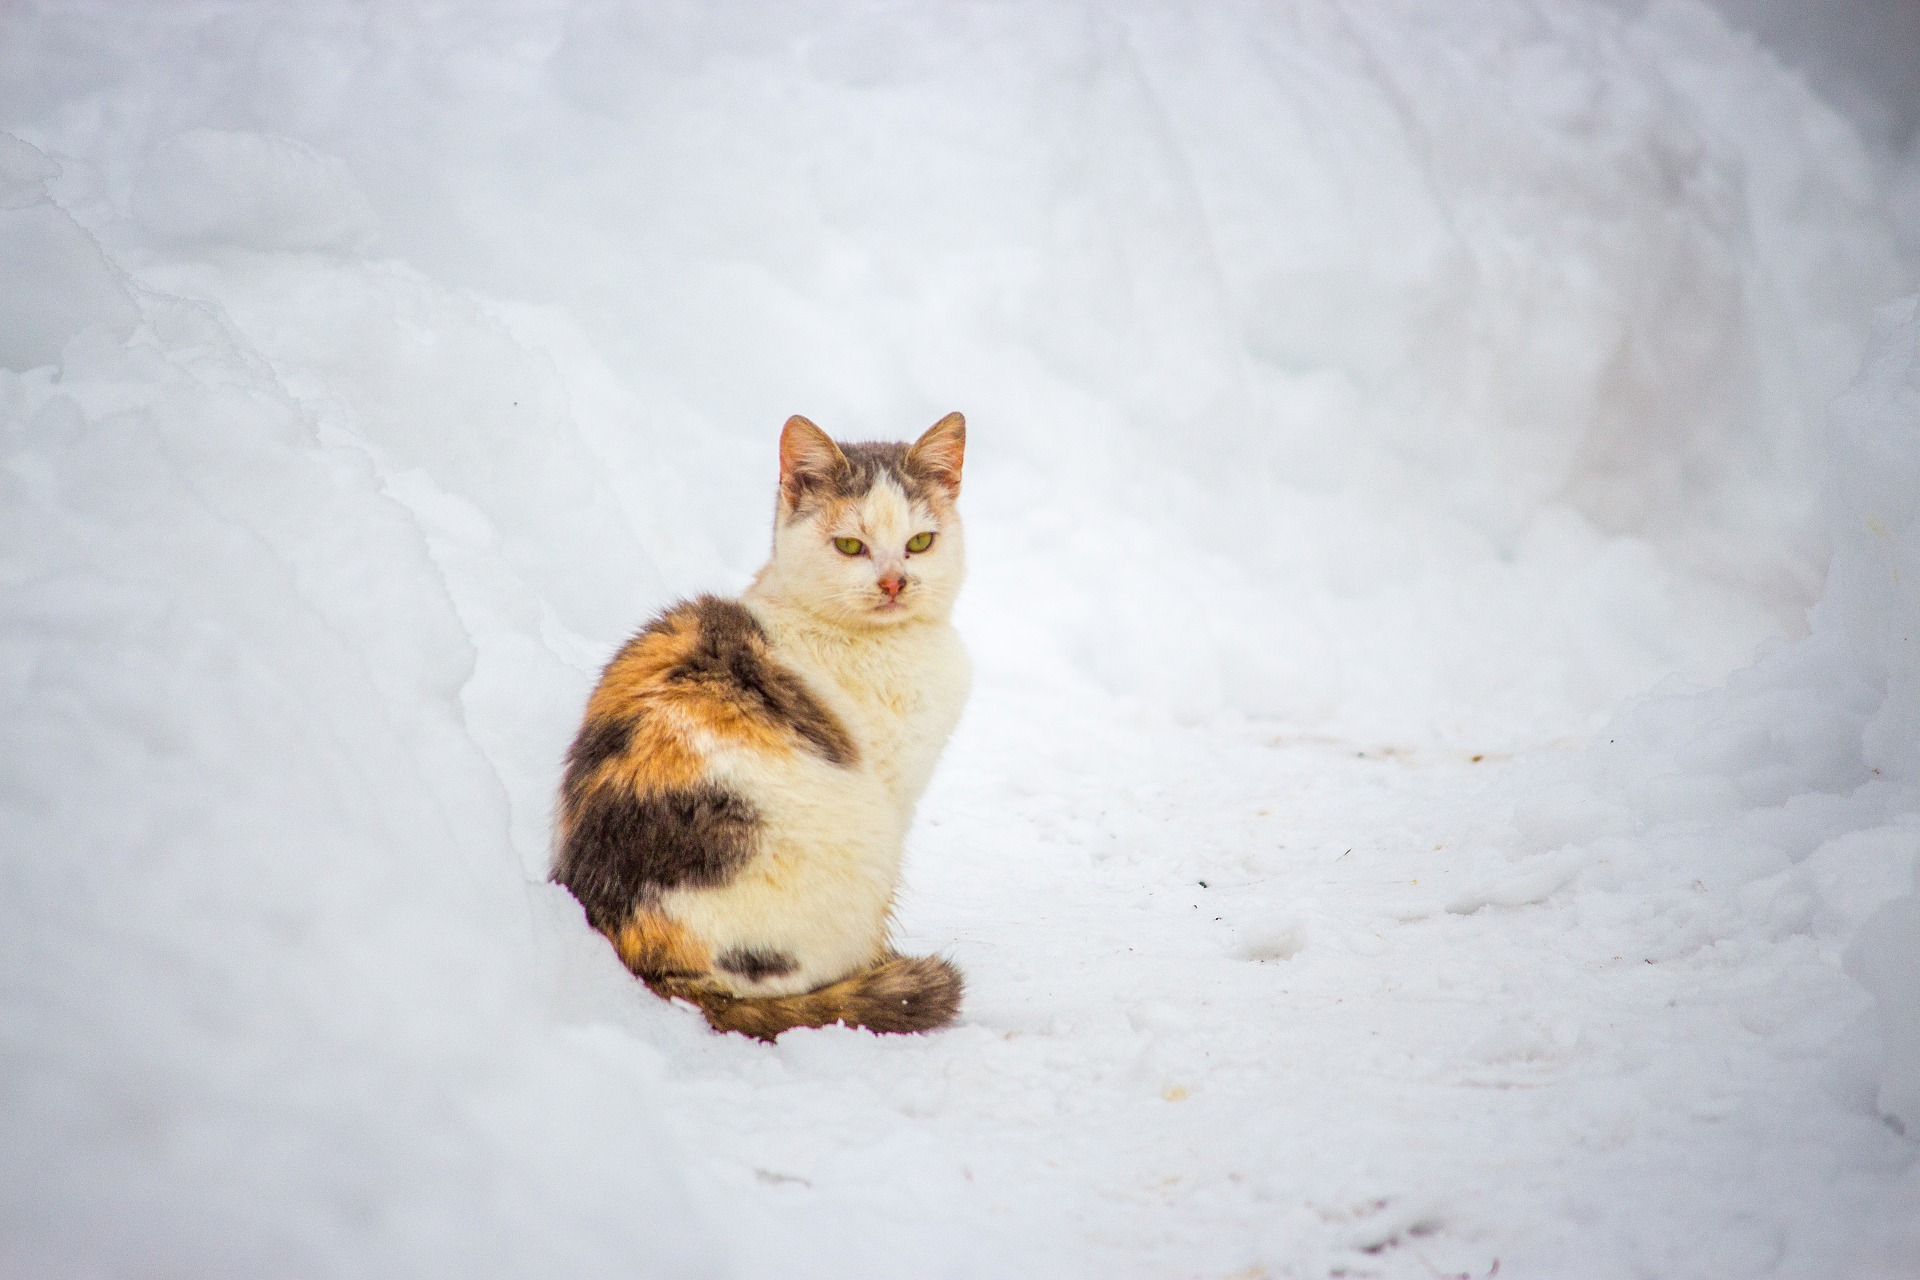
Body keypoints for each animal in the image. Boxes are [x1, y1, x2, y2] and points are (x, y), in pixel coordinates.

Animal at [556, 412, 975, 1043]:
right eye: (850, 546)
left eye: (920, 543)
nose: (894, 583)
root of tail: (653, 964)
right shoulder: (894, 788)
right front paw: (885, 969)